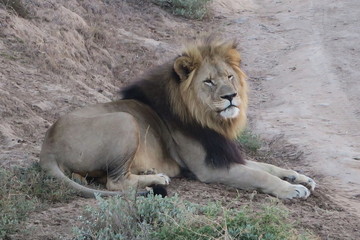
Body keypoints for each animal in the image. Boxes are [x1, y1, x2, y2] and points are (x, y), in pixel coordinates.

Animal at [39, 37, 316, 199]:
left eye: (229, 76)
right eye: (208, 81)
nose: (231, 96)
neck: (210, 119)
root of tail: (47, 147)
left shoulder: (221, 153)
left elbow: (266, 166)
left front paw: (298, 176)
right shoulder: (209, 168)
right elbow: (260, 175)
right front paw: (292, 189)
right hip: (125, 120)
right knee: (115, 183)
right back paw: (156, 178)